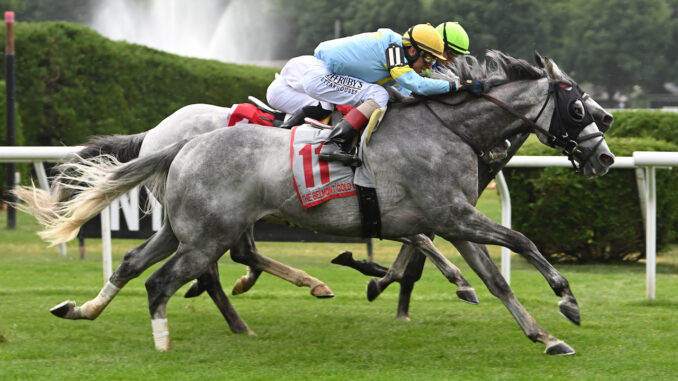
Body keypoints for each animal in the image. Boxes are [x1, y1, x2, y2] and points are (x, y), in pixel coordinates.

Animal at [15, 50, 620, 354]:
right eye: (576, 104)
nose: (605, 153)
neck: (449, 128)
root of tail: (175, 143)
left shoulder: (451, 219)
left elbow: (495, 279)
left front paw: (544, 335)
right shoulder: (449, 215)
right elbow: (520, 239)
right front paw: (566, 300)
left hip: (184, 227)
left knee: (136, 263)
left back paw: (85, 309)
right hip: (208, 232)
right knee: (176, 277)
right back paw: (181, 334)